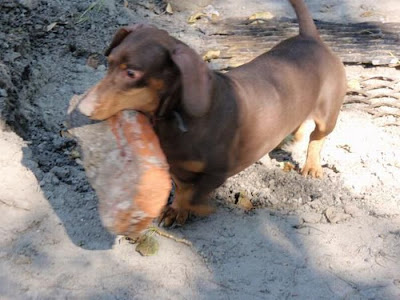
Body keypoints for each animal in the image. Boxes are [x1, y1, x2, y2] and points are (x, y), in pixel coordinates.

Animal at [76, 0, 346, 225]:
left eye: (131, 73)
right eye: (109, 61)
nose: (82, 108)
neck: (176, 118)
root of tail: (310, 37)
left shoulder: (218, 171)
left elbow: (195, 193)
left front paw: (194, 208)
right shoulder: (176, 166)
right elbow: (183, 188)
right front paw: (176, 209)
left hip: (328, 114)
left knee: (318, 138)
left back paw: (312, 166)